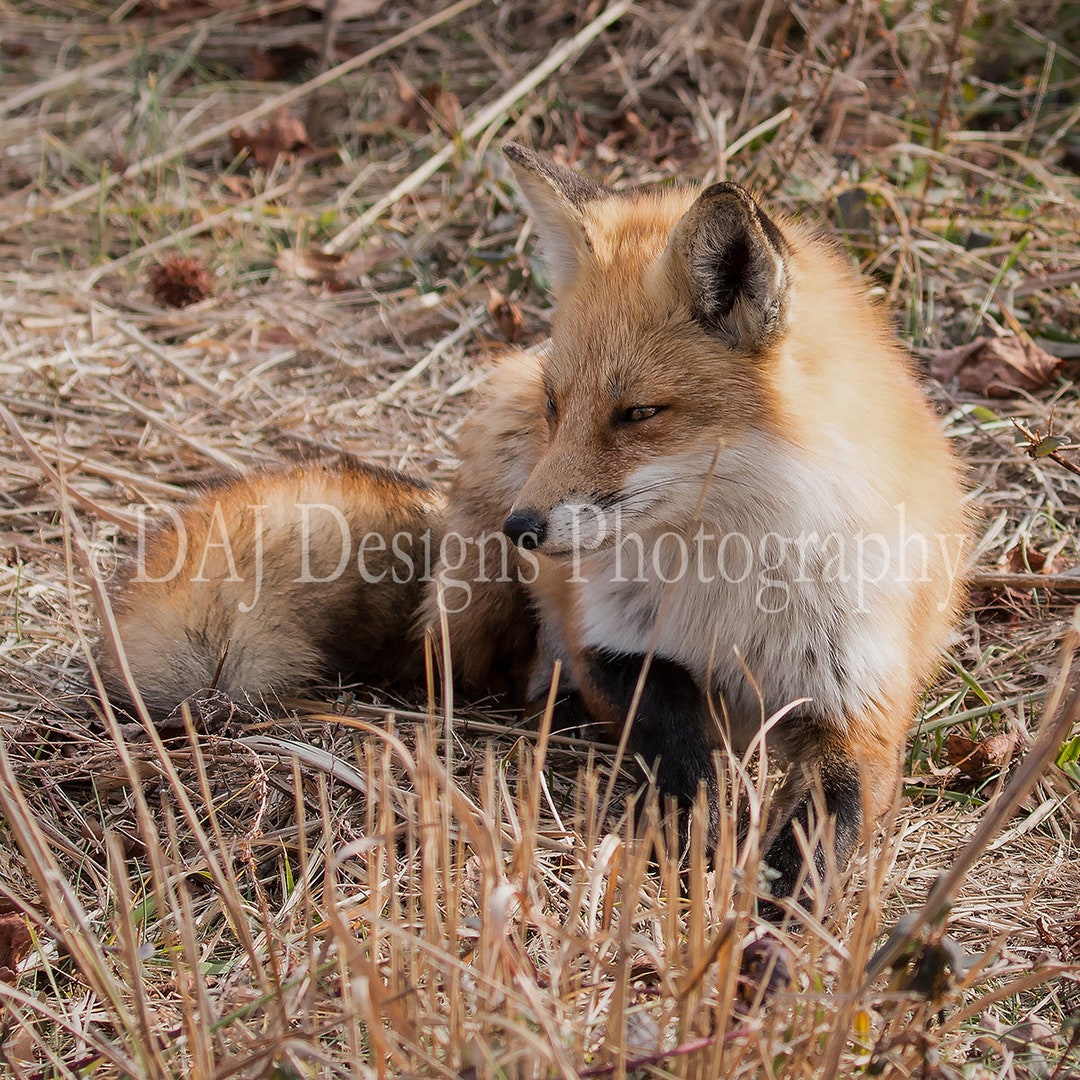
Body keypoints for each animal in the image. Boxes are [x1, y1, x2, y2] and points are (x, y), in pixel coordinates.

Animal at [97, 143, 967, 906]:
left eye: (638, 414)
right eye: (560, 405)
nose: (523, 530)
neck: (726, 580)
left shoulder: (859, 706)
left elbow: (825, 834)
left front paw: (771, 939)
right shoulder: (610, 644)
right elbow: (684, 755)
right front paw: (709, 848)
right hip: (481, 567)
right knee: (475, 671)